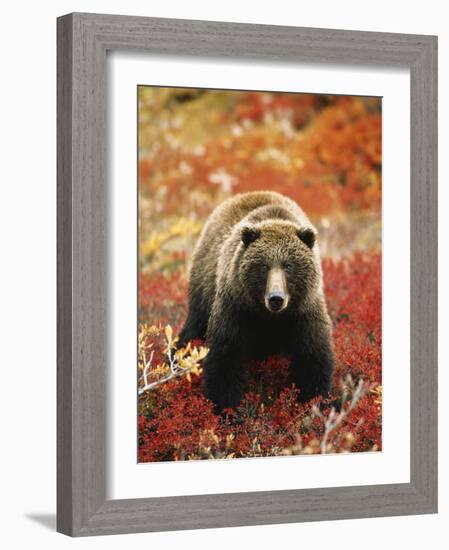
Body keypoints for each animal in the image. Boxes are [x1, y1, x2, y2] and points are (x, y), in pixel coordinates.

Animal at [178, 192, 332, 412]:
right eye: (264, 266)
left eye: (288, 265)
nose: (276, 298)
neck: (269, 317)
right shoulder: (236, 308)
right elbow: (225, 358)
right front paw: (227, 409)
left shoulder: (304, 312)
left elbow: (312, 360)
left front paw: (315, 404)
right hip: (203, 288)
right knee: (193, 328)